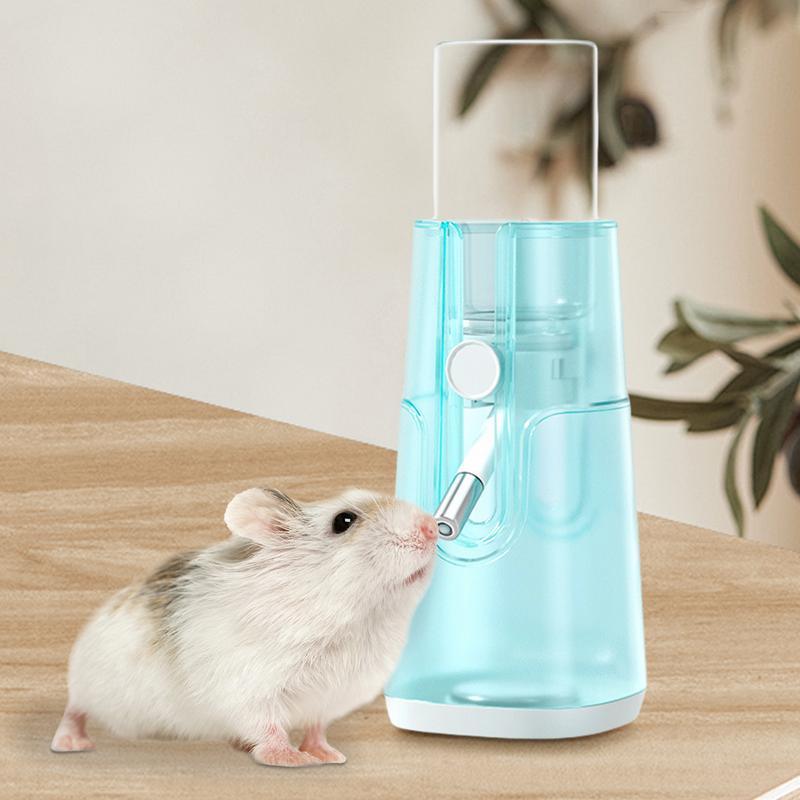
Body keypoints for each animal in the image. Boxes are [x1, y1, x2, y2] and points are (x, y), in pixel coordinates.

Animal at [50, 487, 438, 767]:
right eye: (344, 520)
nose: (432, 527)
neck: (355, 619)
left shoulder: (332, 695)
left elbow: (317, 728)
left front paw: (329, 756)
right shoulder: (248, 687)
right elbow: (268, 726)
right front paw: (292, 760)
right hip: (86, 682)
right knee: (74, 711)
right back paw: (71, 744)